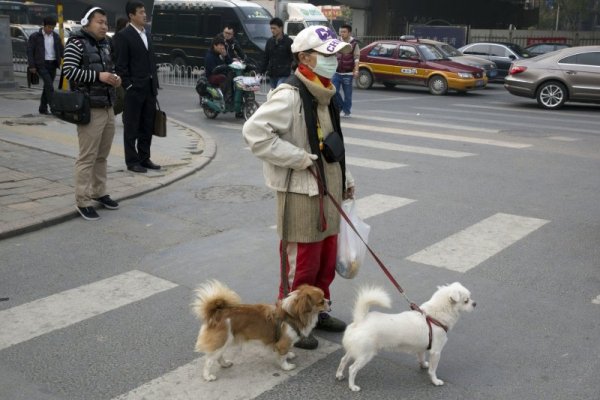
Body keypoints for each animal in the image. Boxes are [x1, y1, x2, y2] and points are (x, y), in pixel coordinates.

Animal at [336, 282, 476, 392]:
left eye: (470, 298)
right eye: (466, 300)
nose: (475, 303)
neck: (433, 317)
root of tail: (360, 320)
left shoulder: (421, 348)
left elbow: (421, 358)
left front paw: (423, 365)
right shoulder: (436, 352)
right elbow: (433, 370)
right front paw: (435, 381)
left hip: (355, 350)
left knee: (343, 359)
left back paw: (339, 374)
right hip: (365, 355)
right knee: (352, 369)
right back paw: (352, 386)